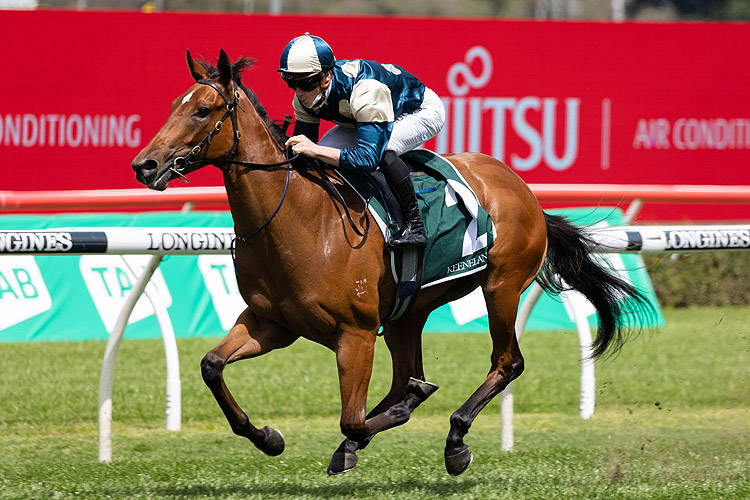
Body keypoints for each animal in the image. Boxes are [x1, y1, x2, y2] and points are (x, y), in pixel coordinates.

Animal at [132, 50, 648, 476]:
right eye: (175, 105)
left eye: (202, 110)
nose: (145, 165)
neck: (300, 219)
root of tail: (522, 190)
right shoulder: (271, 323)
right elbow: (212, 366)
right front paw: (268, 437)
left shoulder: (355, 335)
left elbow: (354, 418)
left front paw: (392, 420)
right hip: (408, 311)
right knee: (405, 376)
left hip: (501, 285)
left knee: (507, 362)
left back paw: (455, 439)